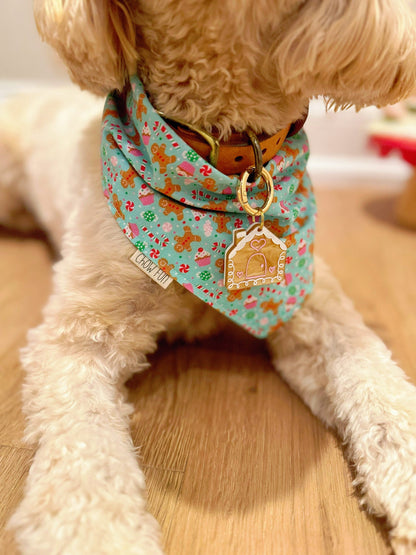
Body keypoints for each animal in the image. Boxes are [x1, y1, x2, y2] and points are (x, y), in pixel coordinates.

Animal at [2, 1, 416, 555]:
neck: (226, 160)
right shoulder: (78, 337)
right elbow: (84, 451)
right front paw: (99, 533)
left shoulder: (310, 308)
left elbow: (379, 383)